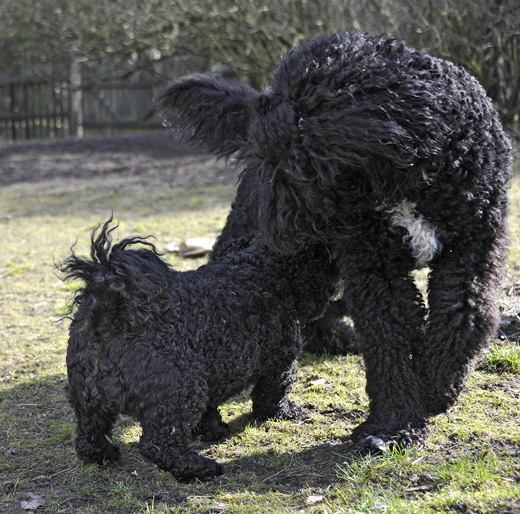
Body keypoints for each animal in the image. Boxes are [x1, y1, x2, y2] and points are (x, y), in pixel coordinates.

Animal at [60, 219, 342, 480]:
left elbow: (210, 409)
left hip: (87, 398)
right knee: (158, 446)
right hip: (182, 392)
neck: (258, 269)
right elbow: (272, 395)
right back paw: (197, 468)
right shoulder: (280, 363)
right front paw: (284, 412)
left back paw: (102, 454)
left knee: (88, 434)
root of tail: (110, 310)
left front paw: (211, 429)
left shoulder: (214, 371)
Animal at [155, 32, 512, 448]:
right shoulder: (373, 266)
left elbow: (465, 315)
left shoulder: (474, 244)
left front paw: (437, 385)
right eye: (266, 160)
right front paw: (393, 424)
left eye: (295, 165)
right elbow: (388, 339)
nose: (276, 231)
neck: (410, 176)